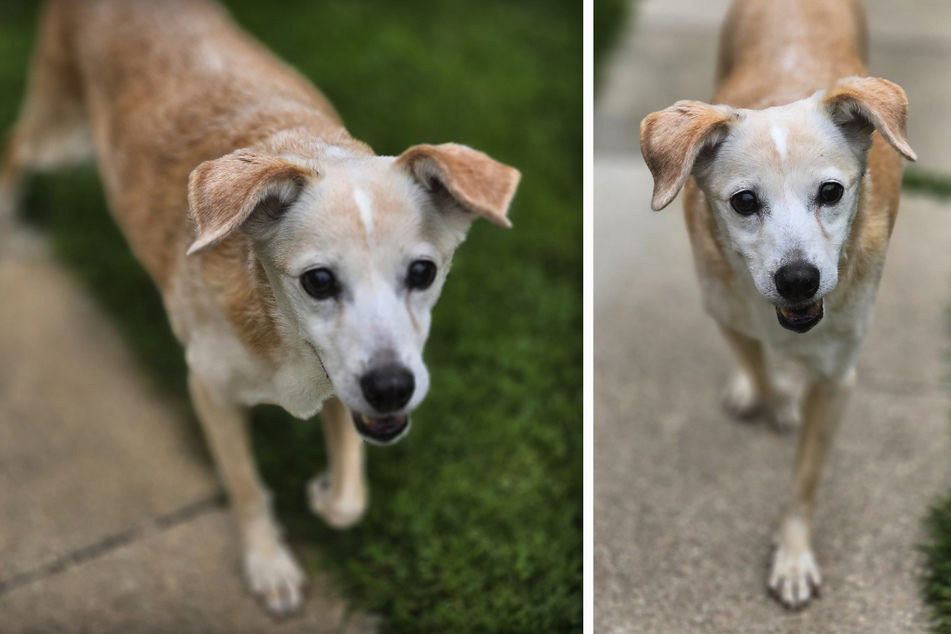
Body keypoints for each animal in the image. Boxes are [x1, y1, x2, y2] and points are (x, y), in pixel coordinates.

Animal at [0, 0, 520, 616]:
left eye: (424, 273)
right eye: (318, 281)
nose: (391, 388)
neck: (278, 327)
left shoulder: (343, 390)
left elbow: (350, 495)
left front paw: (324, 495)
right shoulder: (209, 391)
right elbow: (246, 486)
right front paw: (269, 564)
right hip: (62, 135)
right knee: (14, 145)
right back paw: (10, 223)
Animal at [640, 0, 916, 608]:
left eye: (831, 192)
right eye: (744, 202)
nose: (798, 280)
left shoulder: (838, 379)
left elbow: (806, 477)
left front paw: (792, 555)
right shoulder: (723, 311)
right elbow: (762, 371)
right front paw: (776, 398)